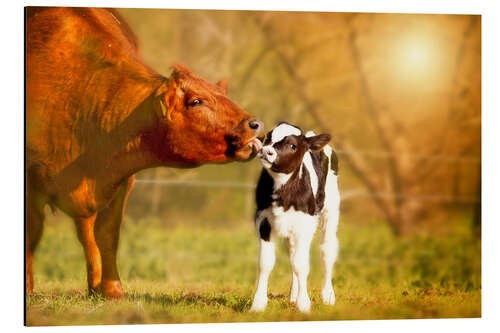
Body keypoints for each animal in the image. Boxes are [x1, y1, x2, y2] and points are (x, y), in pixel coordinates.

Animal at [25, 7, 264, 298]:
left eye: (224, 95)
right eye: (196, 101)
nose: (254, 124)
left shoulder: (120, 180)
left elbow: (107, 234)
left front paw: (113, 290)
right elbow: (31, 234)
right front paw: (27, 288)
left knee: (87, 231)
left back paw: (94, 287)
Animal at [250, 122, 340, 312]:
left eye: (293, 145)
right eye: (268, 137)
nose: (267, 151)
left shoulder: (304, 225)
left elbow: (301, 264)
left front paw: (304, 303)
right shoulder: (263, 220)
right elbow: (265, 263)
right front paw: (258, 304)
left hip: (331, 211)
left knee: (327, 250)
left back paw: (328, 295)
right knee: (293, 254)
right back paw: (293, 295)